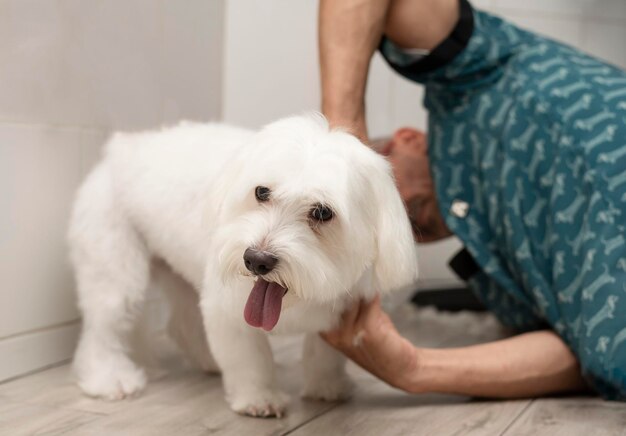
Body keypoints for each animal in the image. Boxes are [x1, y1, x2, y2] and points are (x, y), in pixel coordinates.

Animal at [68, 114, 416, 418]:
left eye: (322, 212)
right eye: (261, 192)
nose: (257, 260)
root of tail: (121, 148)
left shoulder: (339, 309)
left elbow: (325, 354)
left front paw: (327, 386)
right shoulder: (229, 309)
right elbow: (250, 359)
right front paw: (259, 398)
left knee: (182, 324)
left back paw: (207, 359)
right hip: (115, 270)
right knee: (102, 330)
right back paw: (110, 380)